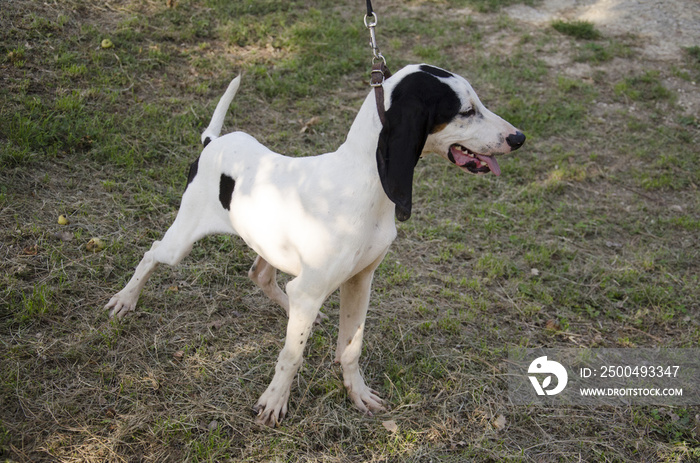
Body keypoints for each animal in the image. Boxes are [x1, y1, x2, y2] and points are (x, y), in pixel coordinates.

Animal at [104, 65, 524, 428]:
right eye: (466, 110)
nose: (519, 138)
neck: (365, 181)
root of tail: (214, 142)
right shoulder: (313, 287)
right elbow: (291, 356)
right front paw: (274, 401)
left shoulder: (359, 282)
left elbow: (351, 347)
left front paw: (357, 392)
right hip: (181, 243)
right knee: (151, 253)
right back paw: (125, 300)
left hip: (274, 248)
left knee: (261, 276)